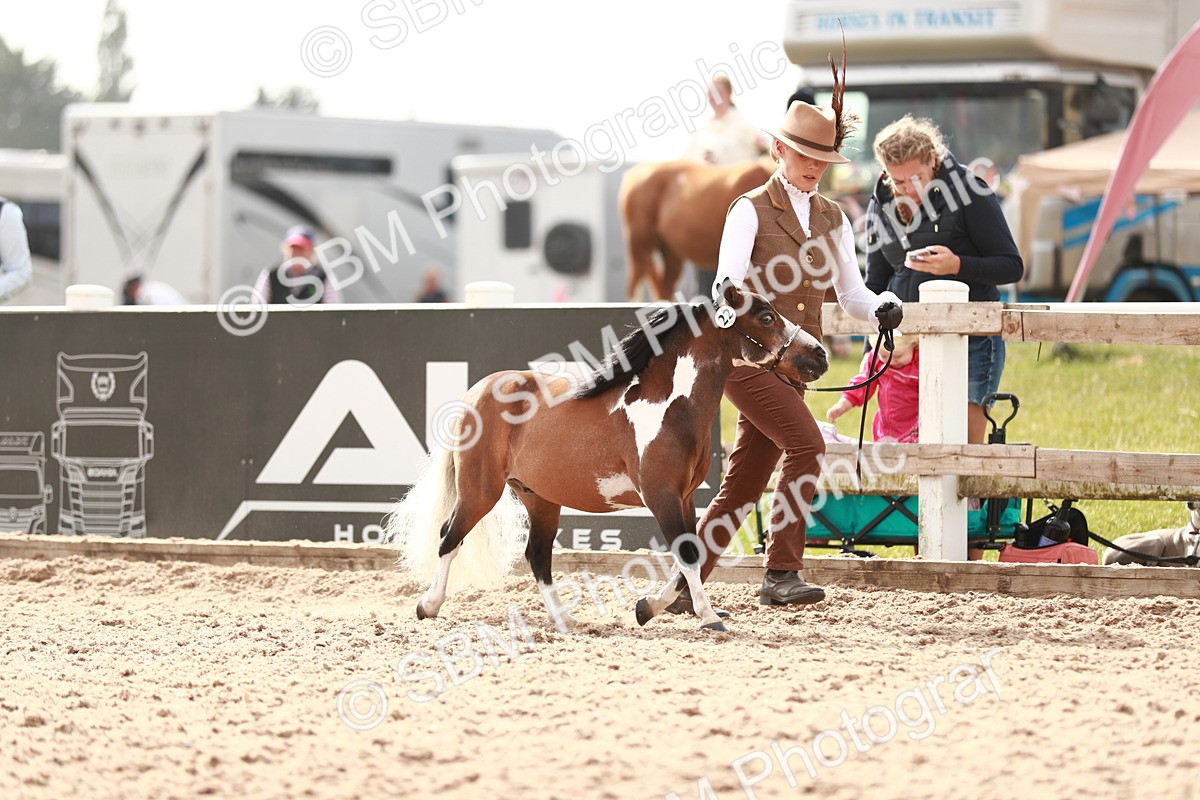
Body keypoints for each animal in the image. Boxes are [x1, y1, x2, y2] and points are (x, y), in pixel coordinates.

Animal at [384, 281, 829, 632]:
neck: (668, 407)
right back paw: (428, 606)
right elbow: (687, 554)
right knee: (449, 536)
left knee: (537, 556)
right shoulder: (661, 496)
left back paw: (564, 620)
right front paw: (707, 618)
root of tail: (477, 392)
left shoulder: (684, 497)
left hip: (539, 497)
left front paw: (646, 608)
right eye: (767, 317)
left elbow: (693, 552)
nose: (820, 355)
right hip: (481, 489)